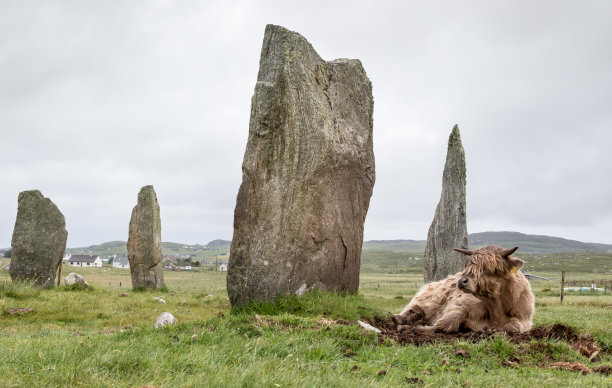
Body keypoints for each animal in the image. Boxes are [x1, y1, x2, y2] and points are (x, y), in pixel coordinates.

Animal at [394, 246, 532, 334]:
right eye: (467, 264)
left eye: (491, 268)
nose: (461, 281)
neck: (496, 308)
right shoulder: (458, 306)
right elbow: (446, 324)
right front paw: (413, 328)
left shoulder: (523, 319)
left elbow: (512, 328)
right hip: (427, 300)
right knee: (413, 310)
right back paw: (399, 319)